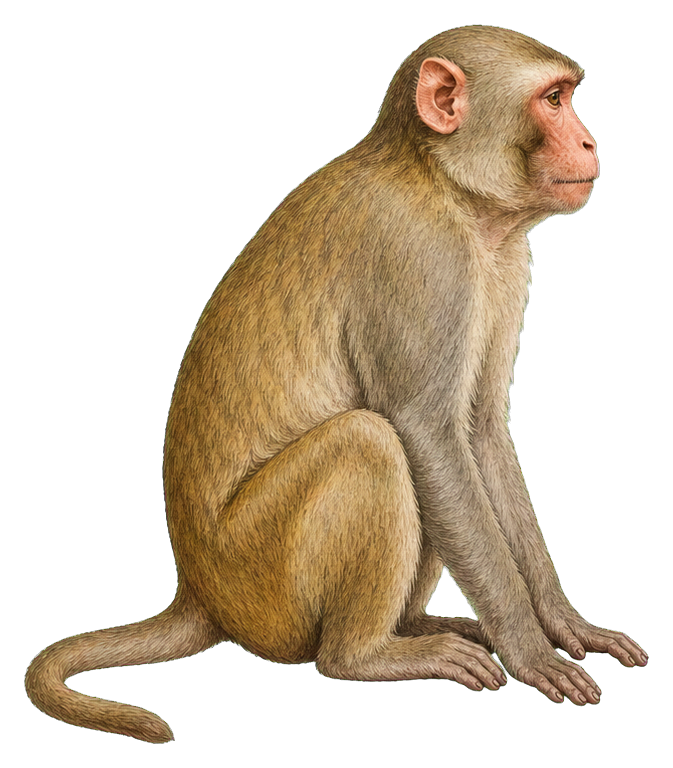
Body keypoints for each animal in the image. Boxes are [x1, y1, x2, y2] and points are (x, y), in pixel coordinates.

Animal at [25, 25, 647, 743]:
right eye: (552, 100)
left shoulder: (505, 258)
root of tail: (199, 594)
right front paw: (528, 650)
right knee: (370, 442)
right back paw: (365, 656)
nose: (590, 142)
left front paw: (566, 624)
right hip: (260, 581)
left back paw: (418, 625)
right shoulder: (418, 254)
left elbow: (480, 432)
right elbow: (428, 434)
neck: (443, 184)